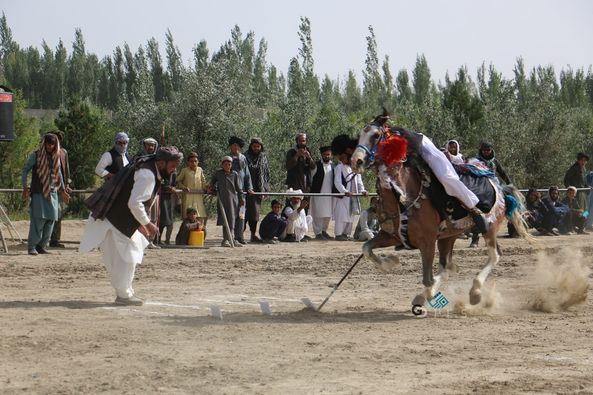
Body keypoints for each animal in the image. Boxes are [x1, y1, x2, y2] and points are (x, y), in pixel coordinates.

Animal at [350, 124, 528, 312]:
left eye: (376, 135)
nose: (356, 161)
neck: (404, 196)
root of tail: (501, 189)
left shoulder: (427, 242)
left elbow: (428, 278)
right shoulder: (392, 236)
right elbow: (366, 248)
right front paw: (390, 262)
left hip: (490, 229)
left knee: (494, 256)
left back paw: (475, 293)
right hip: (449, 236)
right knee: (447, 265)